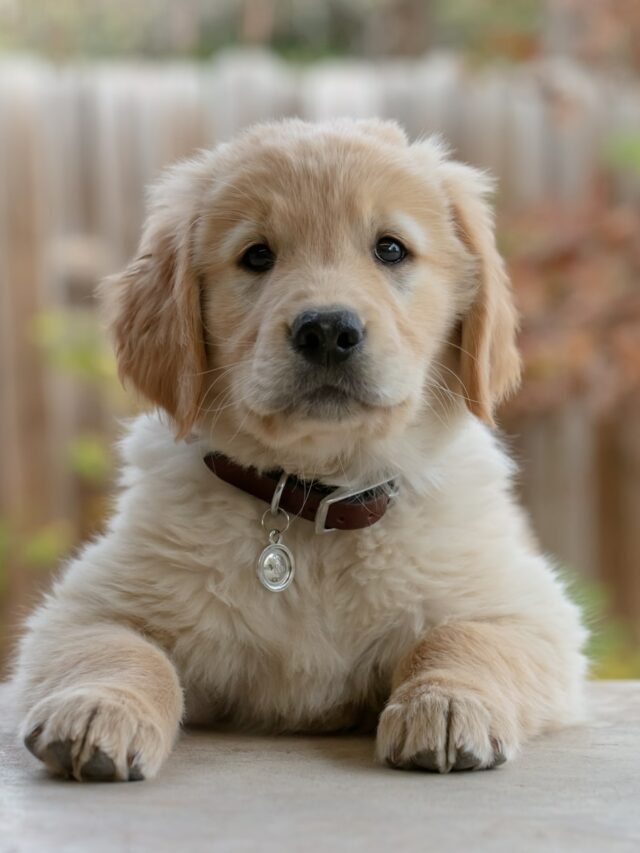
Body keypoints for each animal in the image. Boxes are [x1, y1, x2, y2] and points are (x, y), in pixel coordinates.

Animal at [12, 118, 588, 780]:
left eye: (391, 249)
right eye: (257, 255)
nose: (329, 331)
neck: (314, 503)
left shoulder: (528, 609)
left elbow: (463, 638)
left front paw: (446, 703)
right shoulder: (82, 608)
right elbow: (120, 650)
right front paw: (98, 707)